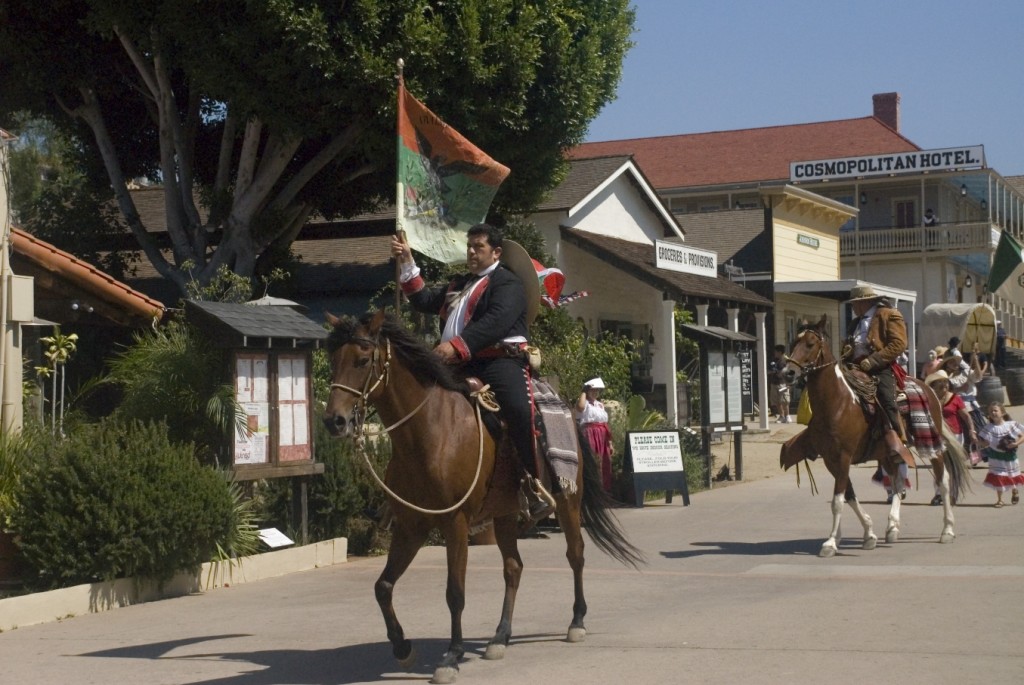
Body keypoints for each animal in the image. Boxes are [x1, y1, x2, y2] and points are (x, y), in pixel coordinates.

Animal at [321, 313, 638, 679]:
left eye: (361, 360)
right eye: (332, 361)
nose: (334, 421)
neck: (429, 433)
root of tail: (570, 412)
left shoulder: (455, 523)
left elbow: (454, 592)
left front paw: (451, 656)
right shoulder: (411, 525)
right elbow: (383, 586)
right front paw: (402, 648)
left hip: (568, 502)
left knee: (575, 555)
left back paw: (577, 621)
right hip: (505, 514)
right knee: (513, 567)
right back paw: (500, 637)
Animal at [782, 315, 966, 557]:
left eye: (810, 344)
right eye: (794, 341)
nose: (787, 373)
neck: (837, 402)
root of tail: (928, 388)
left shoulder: (843, 457)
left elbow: (838, 501)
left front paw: (830, 543)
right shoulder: (831, 459)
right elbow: (849, 496)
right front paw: (868, 534)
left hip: (930, 444)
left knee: (942, 481)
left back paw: (947, 530)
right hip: (888, 452)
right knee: (898, 483)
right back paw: (892, 527)